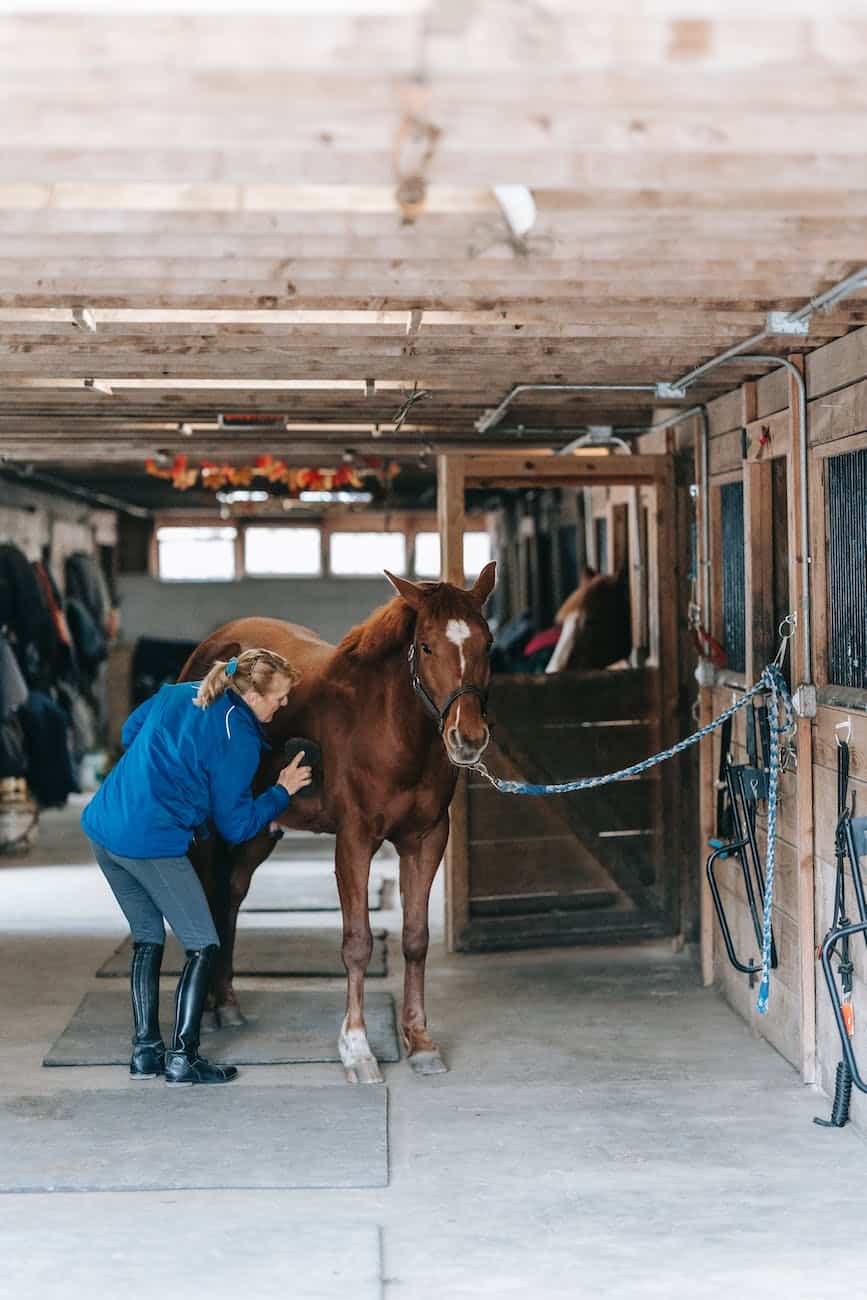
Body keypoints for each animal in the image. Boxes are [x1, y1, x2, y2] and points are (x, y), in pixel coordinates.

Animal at [176, 564, 493, 1081]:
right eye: (426, 646)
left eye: (486, 642)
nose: (467, 738)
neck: (387, 728)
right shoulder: (354, 841)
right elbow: (358, 942)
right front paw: (358, 1048)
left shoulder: (426, 840)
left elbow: (416, 938)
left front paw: (420, 1042)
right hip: (209, 835)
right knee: (207, 897)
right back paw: (207, 1007)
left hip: (257, 834)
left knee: (231, 898)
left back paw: (226, 1003)